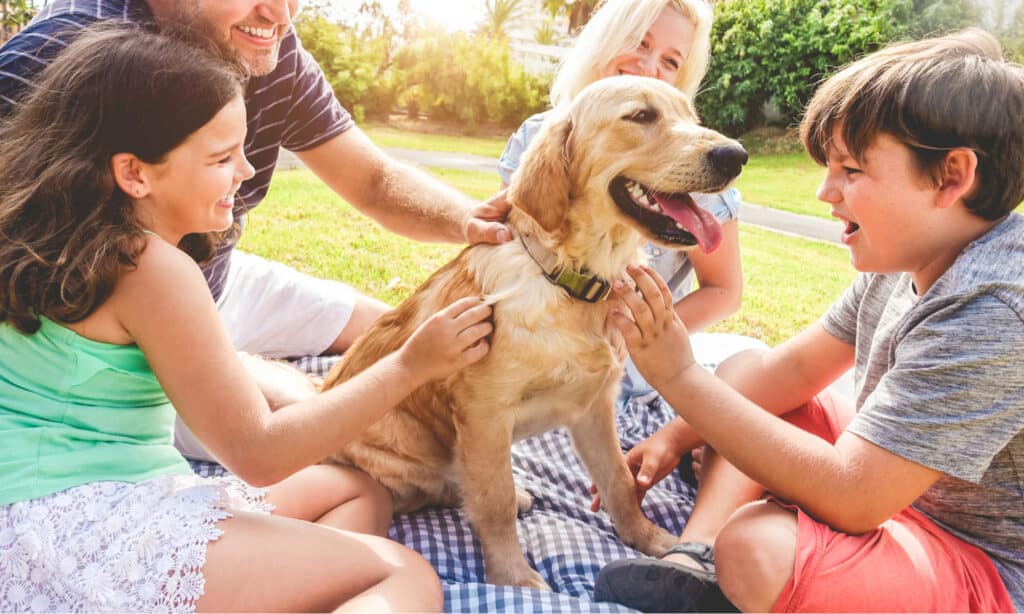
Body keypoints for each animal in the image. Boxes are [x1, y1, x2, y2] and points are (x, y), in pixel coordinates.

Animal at [323, 76, 749, 589]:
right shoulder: (485, 412)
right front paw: (513, 575)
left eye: (693, 117)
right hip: (408, 442)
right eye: (642, 116)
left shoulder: (595, 408)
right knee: (431, 489)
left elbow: (620, 481)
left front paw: (651, 541)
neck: (570, 282)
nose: (736, 155)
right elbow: (495, 499)